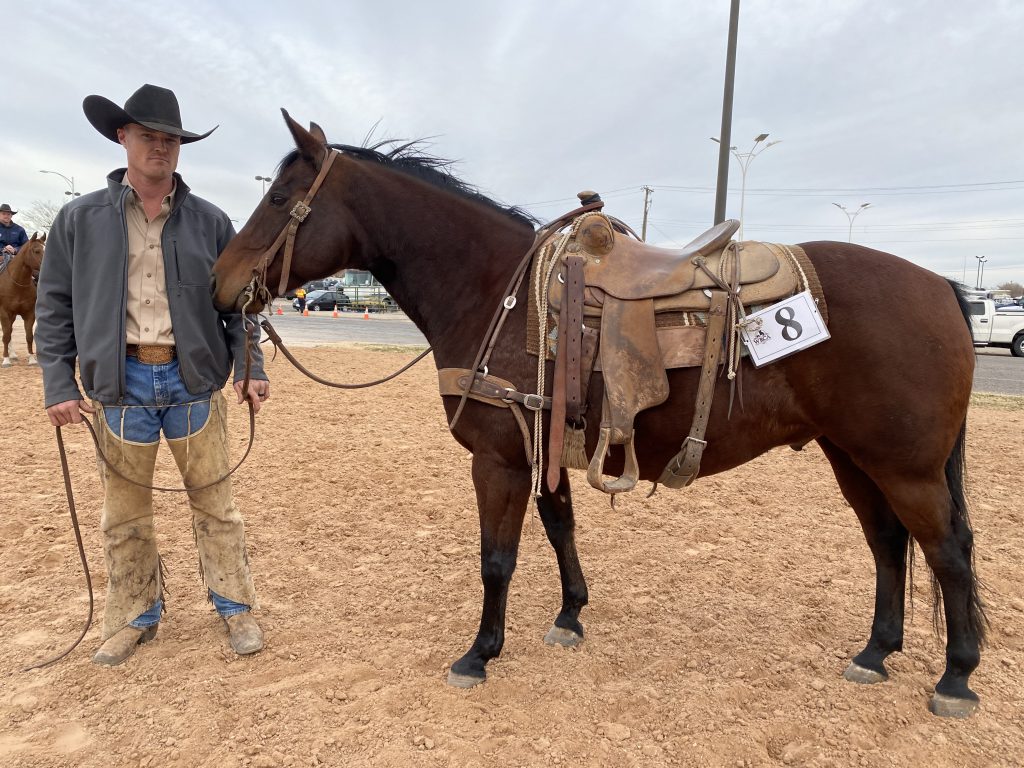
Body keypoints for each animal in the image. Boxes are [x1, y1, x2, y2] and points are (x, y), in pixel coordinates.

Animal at [0, 233, 45, 367]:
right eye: (36, 251)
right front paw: (6, 360)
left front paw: (32, 359)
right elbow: (6, 335)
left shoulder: (29, 313)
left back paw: (13, 354)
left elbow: (29, 336)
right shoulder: (4, 312)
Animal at [211, 112, 985, 718]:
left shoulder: (498, 459)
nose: (220, 282)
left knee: (946, 550)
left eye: (279, 197)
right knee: (887, 543)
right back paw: (876, 652)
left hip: (905, 466)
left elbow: (498, 558)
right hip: (852, 455)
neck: (498, 295)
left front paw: (480, 652)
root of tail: (941, 287)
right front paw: (570, 615)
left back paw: (955, 677)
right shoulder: (545, 445)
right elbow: (560, 530)